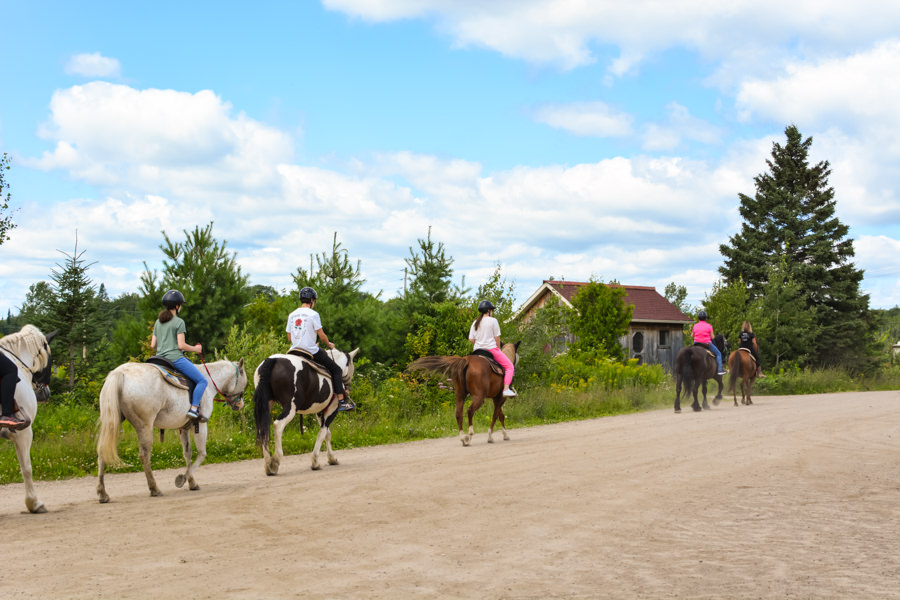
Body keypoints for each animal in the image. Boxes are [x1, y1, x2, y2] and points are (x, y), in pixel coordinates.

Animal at [96, 356, 246, 502]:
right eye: (244, 382)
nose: (240, 405)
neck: (208, 380)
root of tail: (120, 373)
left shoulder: (184, 428)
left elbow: (188, 453)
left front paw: (192, 482)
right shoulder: (201, 424)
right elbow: (202, 453)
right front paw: (183, 479)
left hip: (111, 423)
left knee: (102, 452)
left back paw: (103, 493)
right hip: (145, 427)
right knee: (144, 455)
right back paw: (154, 489)